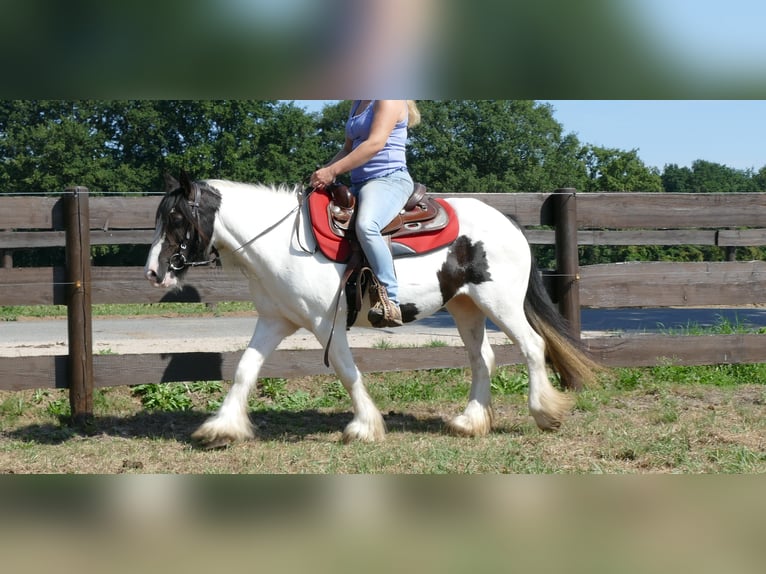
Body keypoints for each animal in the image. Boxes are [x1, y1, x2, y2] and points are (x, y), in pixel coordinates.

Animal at [142, 172, 600, 450]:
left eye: (177, 217)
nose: (153, 272)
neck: (281, 243)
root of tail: (508, 223)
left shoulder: (325, 324)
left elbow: (348, 373)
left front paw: (364, 426)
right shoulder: (275, 321)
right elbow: (244, 370)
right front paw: (221, 427)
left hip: (499, 303)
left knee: (532, 346)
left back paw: (544, 413)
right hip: (465, 306)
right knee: (482, 358)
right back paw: (469, 422)